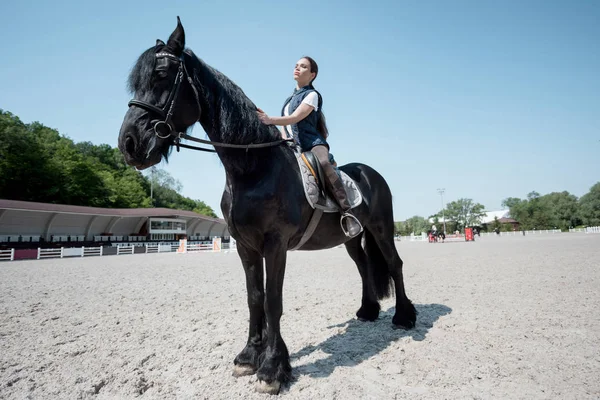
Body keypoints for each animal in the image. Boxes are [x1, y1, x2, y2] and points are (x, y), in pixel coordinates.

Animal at [118, 18, 418, 394]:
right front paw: (250, 356)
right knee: (364, 266)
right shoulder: (245, 246)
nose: (129, 144)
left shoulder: (275, 244)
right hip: (352, 237)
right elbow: (254, 297)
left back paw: (404, 317)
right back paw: (367, 311)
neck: (254, 170)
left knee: (394, 263)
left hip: (381, 229)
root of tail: (368, 172)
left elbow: (274, 301)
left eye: (161, 74)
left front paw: (273, 368)